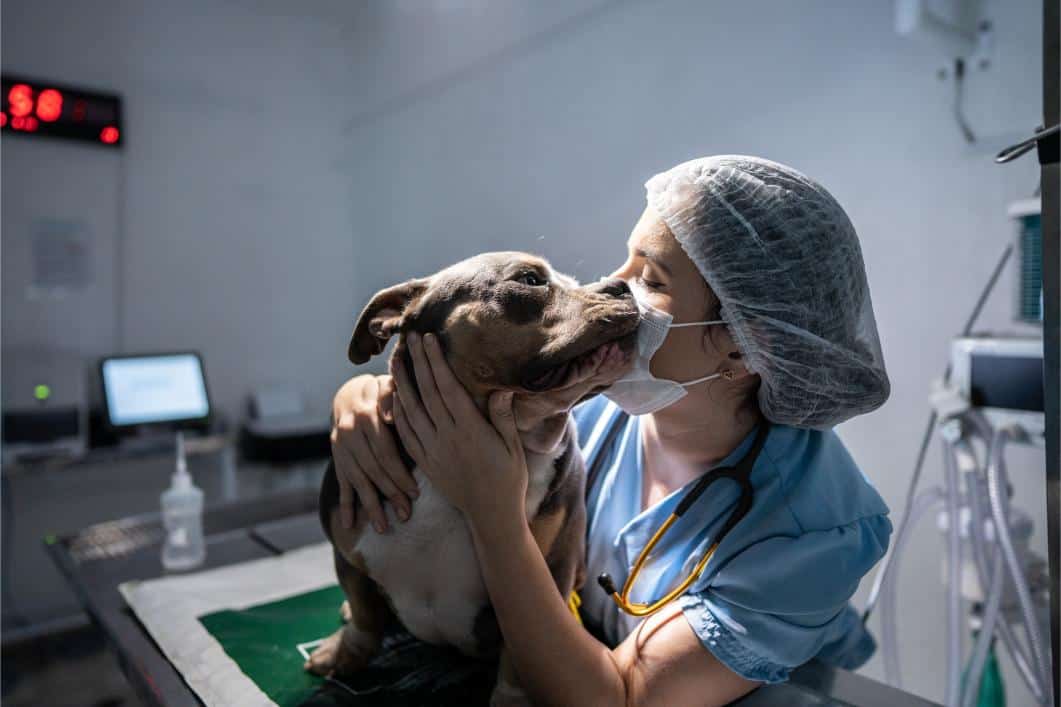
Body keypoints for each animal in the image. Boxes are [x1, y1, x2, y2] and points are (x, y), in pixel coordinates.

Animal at [307, 251, 636, 700]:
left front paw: (511, 699)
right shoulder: (345, 550)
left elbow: (518, 657)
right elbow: (362, 612)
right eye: (530, 280)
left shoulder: (548, 573)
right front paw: (346, 653)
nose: (622, 286)